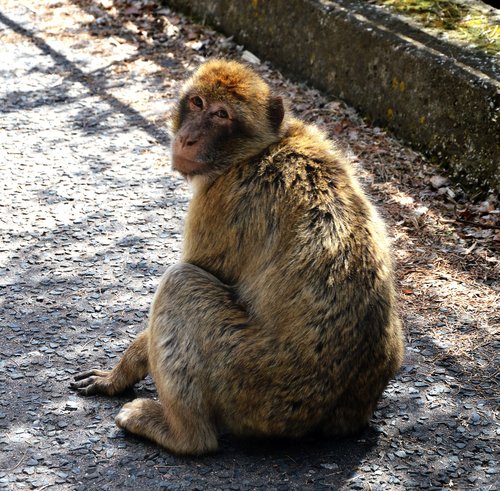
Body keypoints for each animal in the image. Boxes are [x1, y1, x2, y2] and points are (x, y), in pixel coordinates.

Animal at [72, 59, 404, 456]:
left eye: (221, 115)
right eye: (197, 103)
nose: (187, 138)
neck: (258, 150)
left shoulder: (221, 200)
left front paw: (119, 374)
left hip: (252, 383)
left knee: (181, 284)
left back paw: (182, 434)